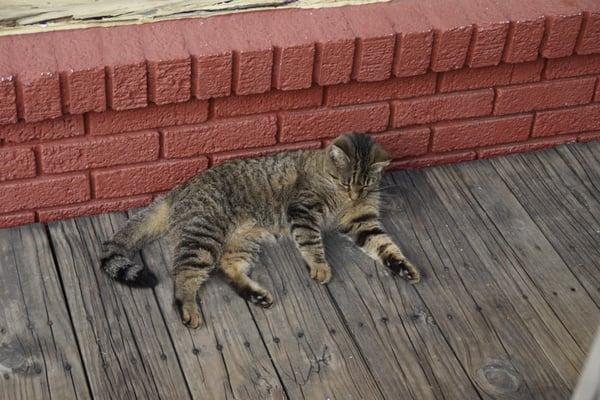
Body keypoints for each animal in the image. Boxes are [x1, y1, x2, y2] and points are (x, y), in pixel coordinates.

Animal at [101, 133, 420, 326]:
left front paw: (402, 266)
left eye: (364, 185)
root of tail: (179, 189)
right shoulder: (302, 210)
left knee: (225, 269)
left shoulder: (363, 221)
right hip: (203, 239)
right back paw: (188, 308)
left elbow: (385, 245)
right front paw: (320, 265)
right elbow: (311, 242)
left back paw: (255, 294)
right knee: (182, 276)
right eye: (344, 182)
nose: (353, 195)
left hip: (241, 241)